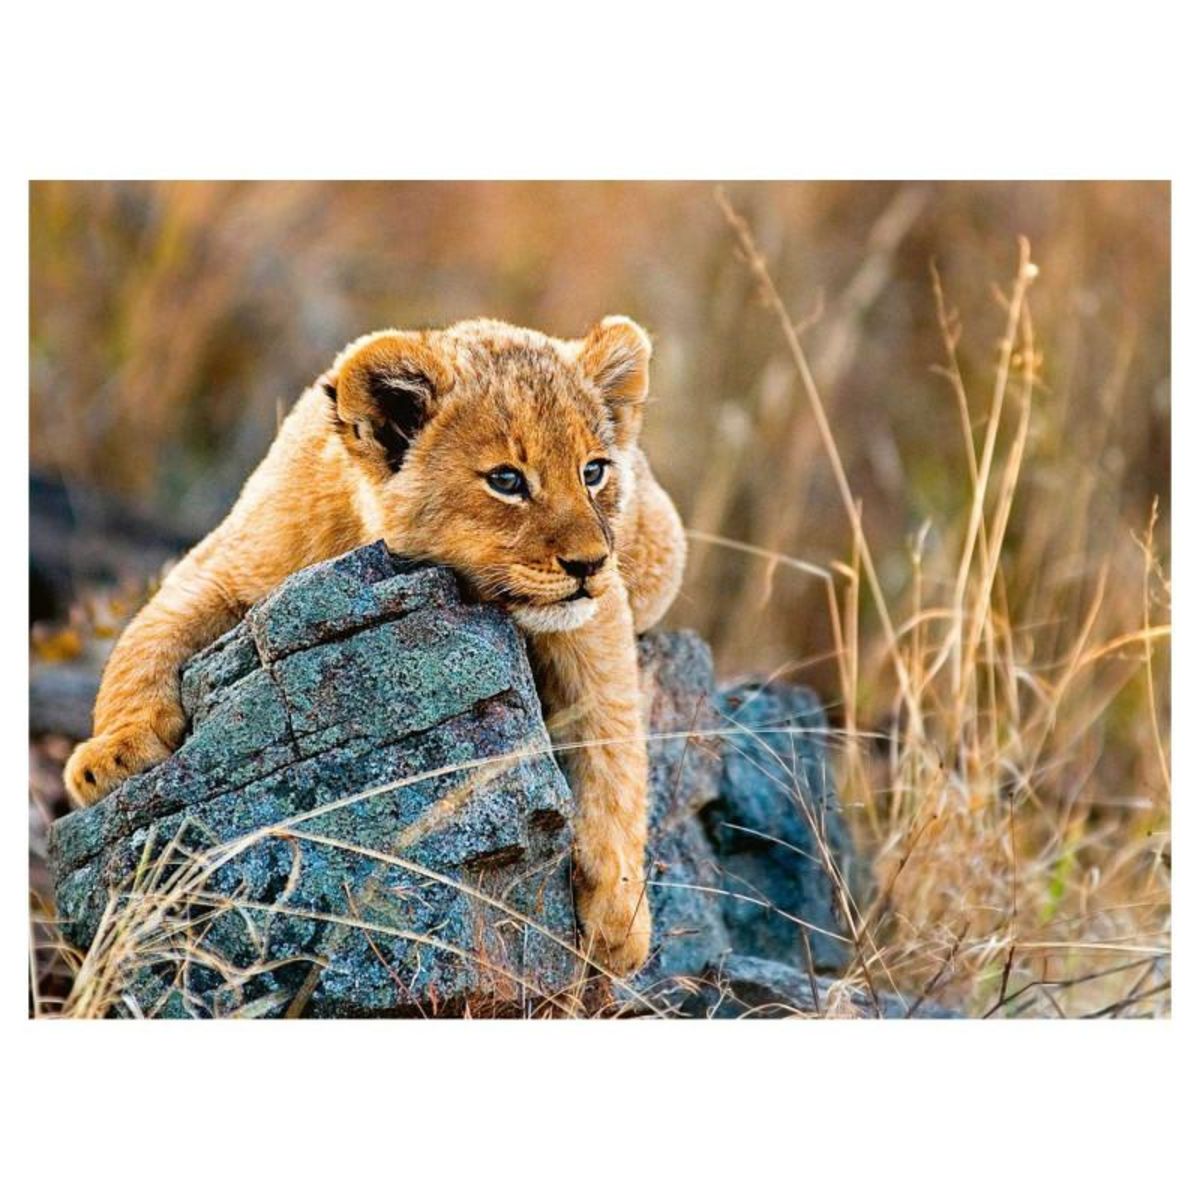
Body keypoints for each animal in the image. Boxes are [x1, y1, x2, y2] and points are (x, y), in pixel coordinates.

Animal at [63, 316, 686, 976]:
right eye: (506, 480)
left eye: (594, 471)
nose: (590, 563)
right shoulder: (222, 564)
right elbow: (144, 639)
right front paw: (110, 756)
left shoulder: (596, 619)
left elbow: (614, 746)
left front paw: (620, 917)